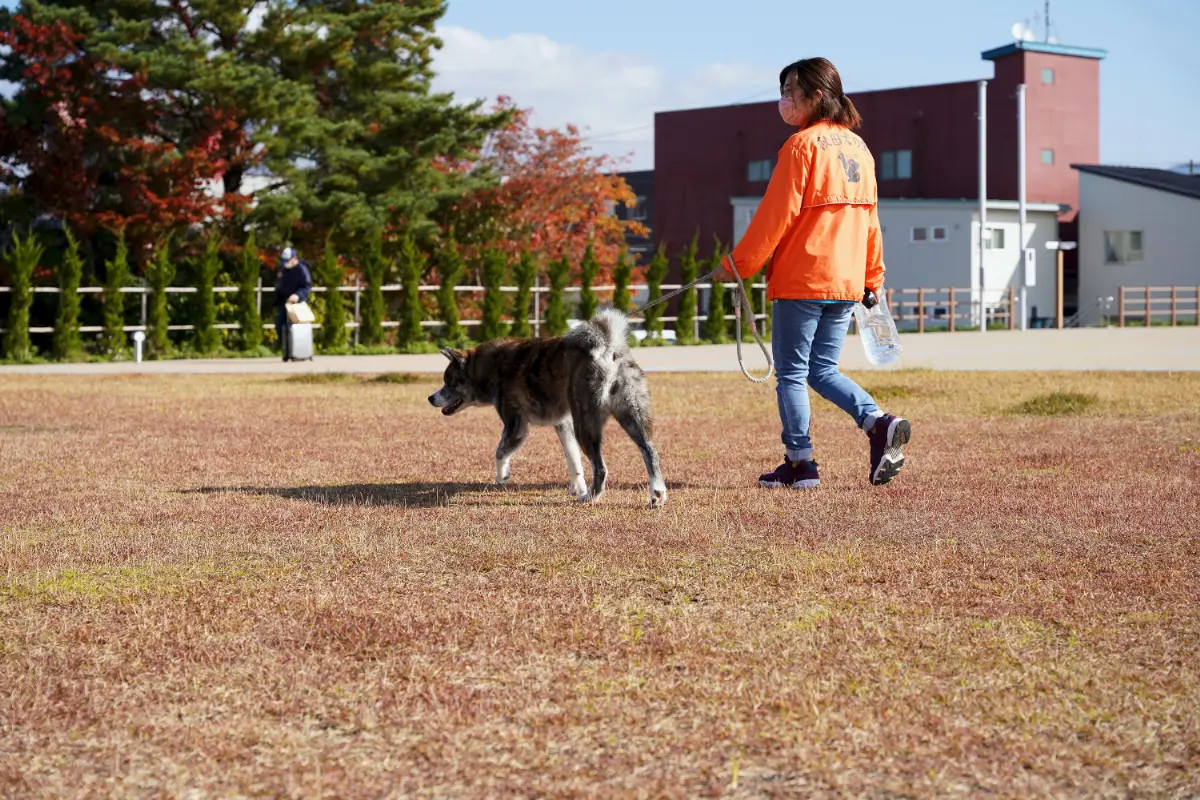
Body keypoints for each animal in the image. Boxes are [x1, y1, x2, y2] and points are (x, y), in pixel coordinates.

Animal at [427, 309, 667, 510]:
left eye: (449, 381)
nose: (430, 398)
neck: (491, 367)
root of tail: (608, 349)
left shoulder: (516, 425)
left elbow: (500, 452)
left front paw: (502, 476)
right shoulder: (563, 424)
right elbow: (574, 461)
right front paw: (577, 487)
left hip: (585, 423)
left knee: (601, 467)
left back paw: (591, 496)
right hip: (630, 416)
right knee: (650, 451)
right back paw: (657, 494)